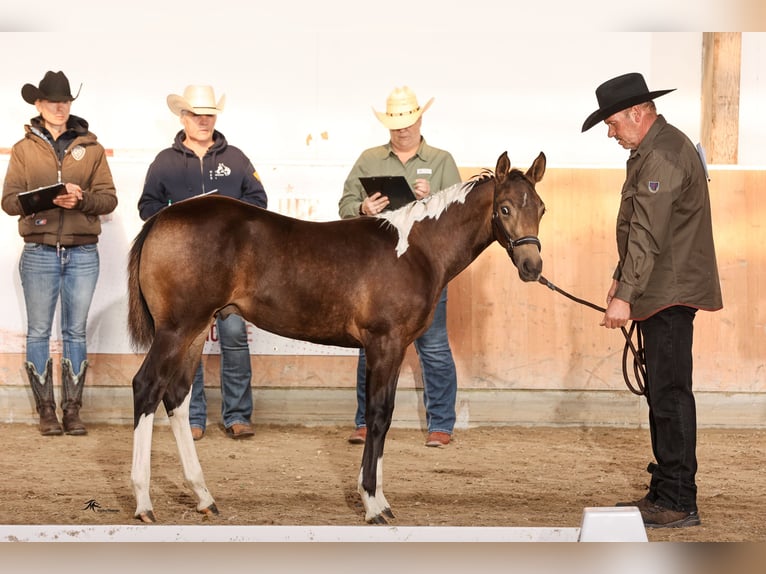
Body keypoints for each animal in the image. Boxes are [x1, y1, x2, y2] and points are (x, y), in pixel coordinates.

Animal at [127, 150, 544, 528]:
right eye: (505, 208)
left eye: (540, 208)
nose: (532, 267)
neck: (415, 250)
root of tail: (162, 217)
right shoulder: (384, 343)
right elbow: (378, 415)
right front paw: (374, 504)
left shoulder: (395, 347)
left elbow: (384, 415)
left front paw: (380, 499)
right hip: (176, 329)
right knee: (147, 386)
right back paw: (144, 502)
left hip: (196, 331)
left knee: (176, 397)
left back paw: (204, 497)